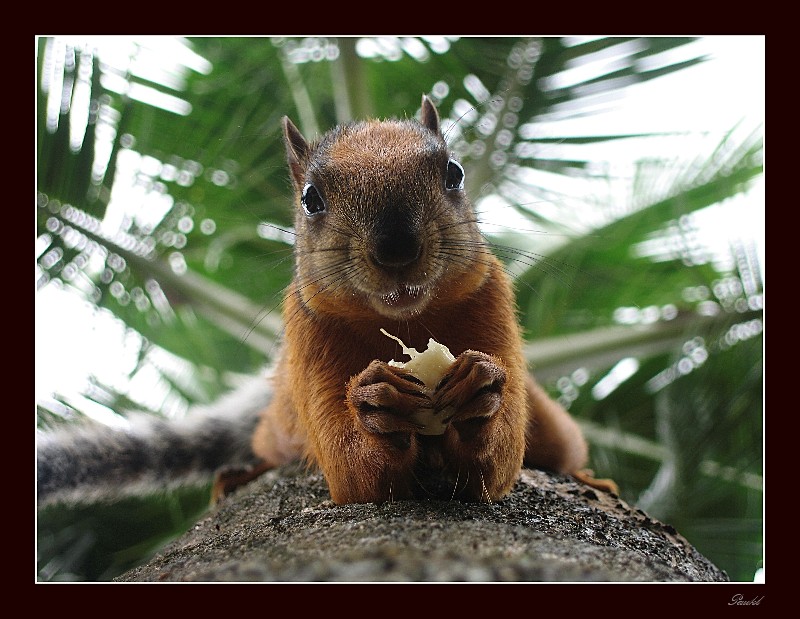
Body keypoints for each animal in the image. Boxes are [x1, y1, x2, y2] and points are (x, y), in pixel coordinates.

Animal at [214, 95, 620, 504]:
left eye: (455, 174)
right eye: (310, 199)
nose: (397, 249)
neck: (404, 320)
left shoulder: (491, 299)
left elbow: (497, 467)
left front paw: (480, 388)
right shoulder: (309, 333)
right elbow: (352, 475)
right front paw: (376, 400)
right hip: (278, 424)